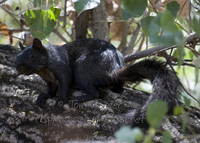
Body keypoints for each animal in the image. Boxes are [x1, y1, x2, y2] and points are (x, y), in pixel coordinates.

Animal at [16, 38, 180, 123]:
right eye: (17, 56)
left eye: (31, 56)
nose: (18, 68)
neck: (44, 70)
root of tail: (113, 71)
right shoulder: (49, 80)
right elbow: (50, 90)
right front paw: (43, 96)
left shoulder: (62, 69)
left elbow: (65, 87)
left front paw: (60, 102)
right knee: (117, 88)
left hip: (81, 71)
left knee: (95, 93)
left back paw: (80, 98)